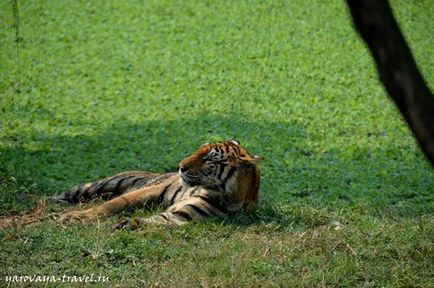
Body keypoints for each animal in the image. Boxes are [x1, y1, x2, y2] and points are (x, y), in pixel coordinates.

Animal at [56, 140, 262, 230]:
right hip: (102, 185)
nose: (180, 166)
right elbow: (114, 204)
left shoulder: (185, 215)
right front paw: (75, 217)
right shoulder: (151, 190)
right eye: (199, 150)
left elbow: (160, 220)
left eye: (208, 158)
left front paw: (129, 224)